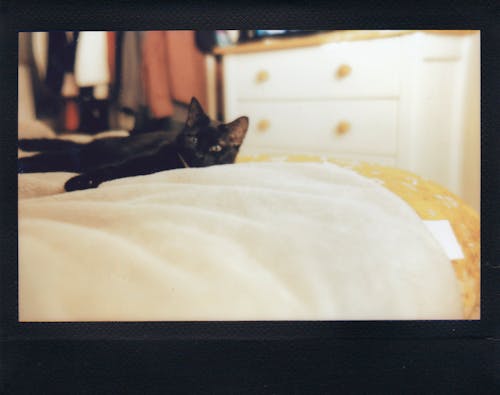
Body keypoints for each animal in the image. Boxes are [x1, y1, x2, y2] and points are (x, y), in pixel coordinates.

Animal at [19, 98, 250, 193]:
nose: (200, 156)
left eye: (216, 148)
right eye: (193, 139)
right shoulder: (141, 161)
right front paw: (79, 182)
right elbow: (114, 169)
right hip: (85, 156)